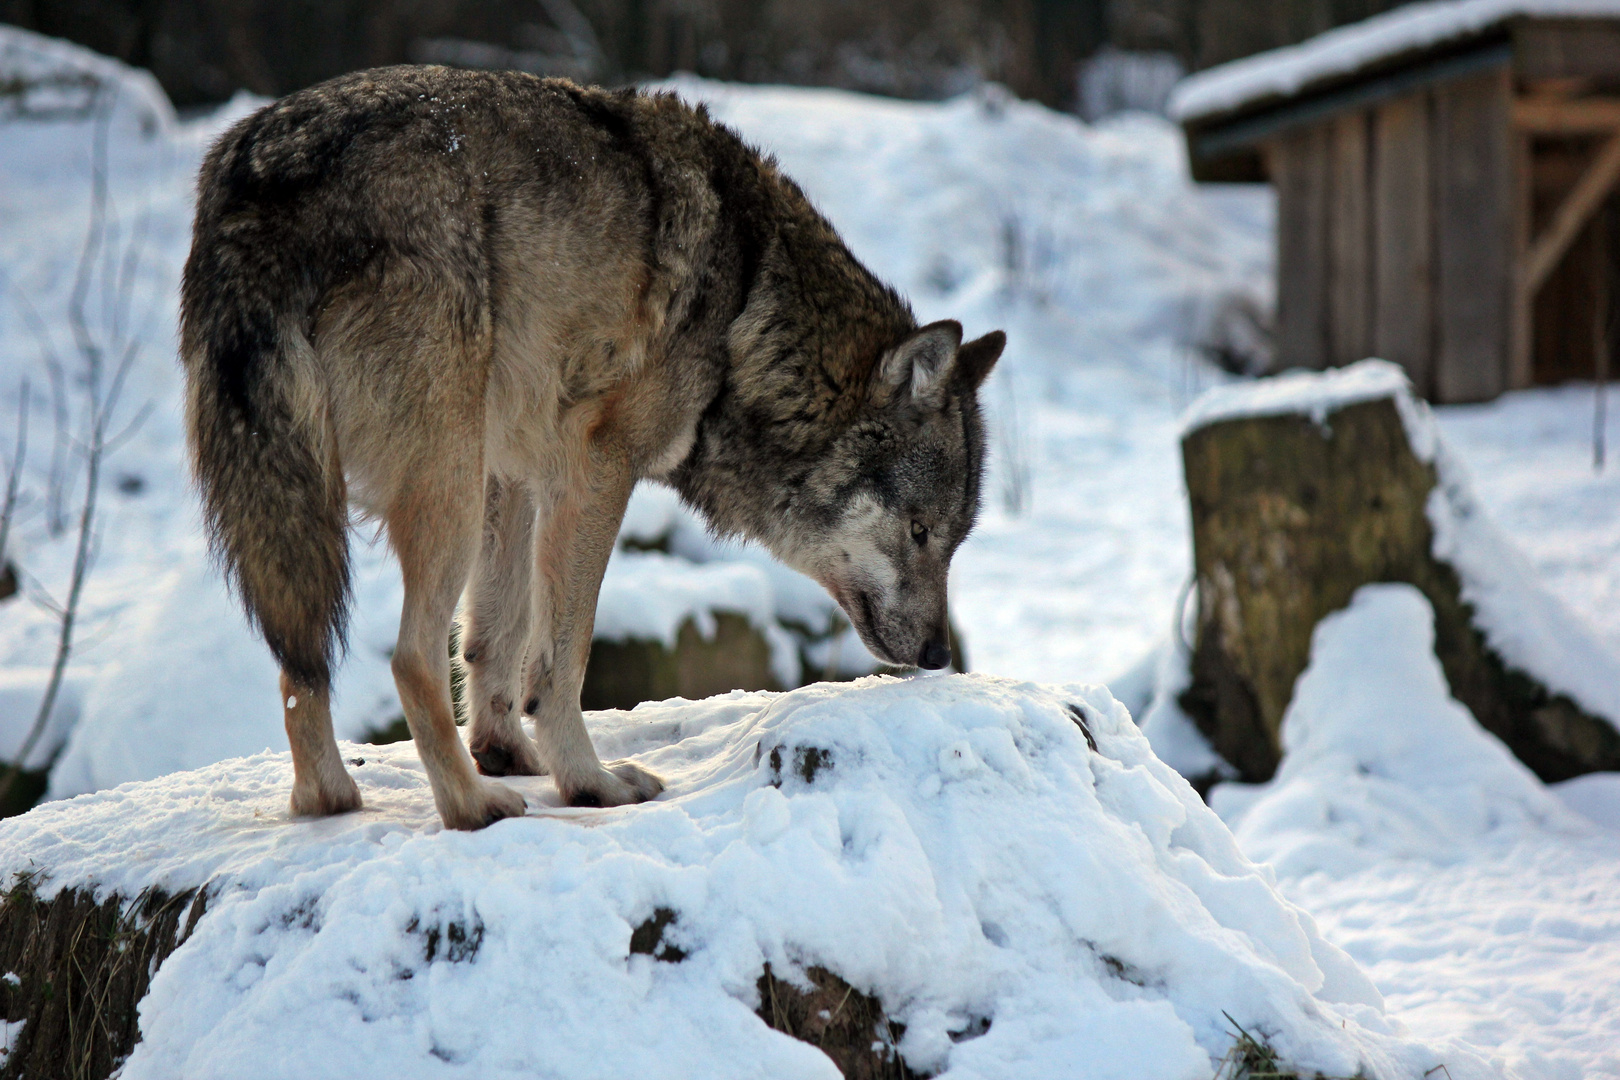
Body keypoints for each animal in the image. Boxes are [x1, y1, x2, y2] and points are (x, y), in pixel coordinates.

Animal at [183, 65, 1004, 829]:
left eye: (954, 541)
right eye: (920, 531)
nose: (940, 657)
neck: (748, 305)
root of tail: (262, 169)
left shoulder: (513, 476)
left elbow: (495, 641)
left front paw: (506, 752)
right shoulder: (597, 471)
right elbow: (560, 659)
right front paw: (587, 782)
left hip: (338, 496)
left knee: (302, 665)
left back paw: (331, 800)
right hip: (442, 485)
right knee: (410, 657)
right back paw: (471, 806)